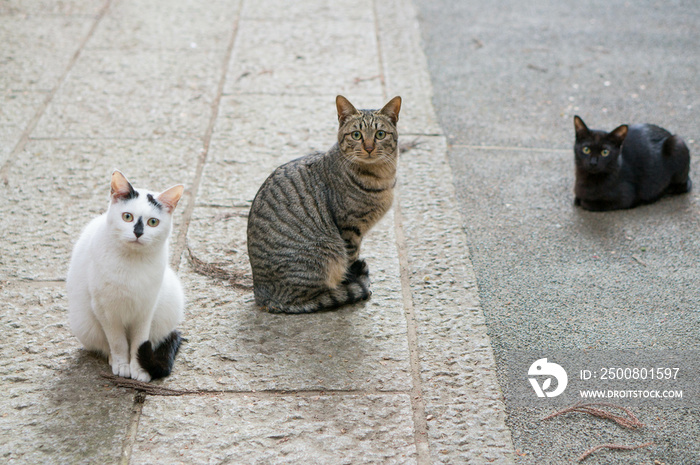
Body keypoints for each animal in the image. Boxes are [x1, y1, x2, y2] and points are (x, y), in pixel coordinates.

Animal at [66, 169, 185, 380]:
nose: (138, 233)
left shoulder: (146, 310)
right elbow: (117, 342)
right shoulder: (105, 311)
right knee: (106, 345)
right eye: (127, 217)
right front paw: (122, 364)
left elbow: (139, 342)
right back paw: (113, 360)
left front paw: (139, 369)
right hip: (84, 323)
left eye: (153, 222)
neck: (132, 263)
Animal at [246, 94, 402, 312]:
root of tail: (261, 295)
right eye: (356, 135)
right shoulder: (349, 229)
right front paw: (353, 282)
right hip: (325, 253)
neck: (381, 177)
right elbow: (349, 262)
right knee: (305, 300)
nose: (369, 148)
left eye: (380, 134)